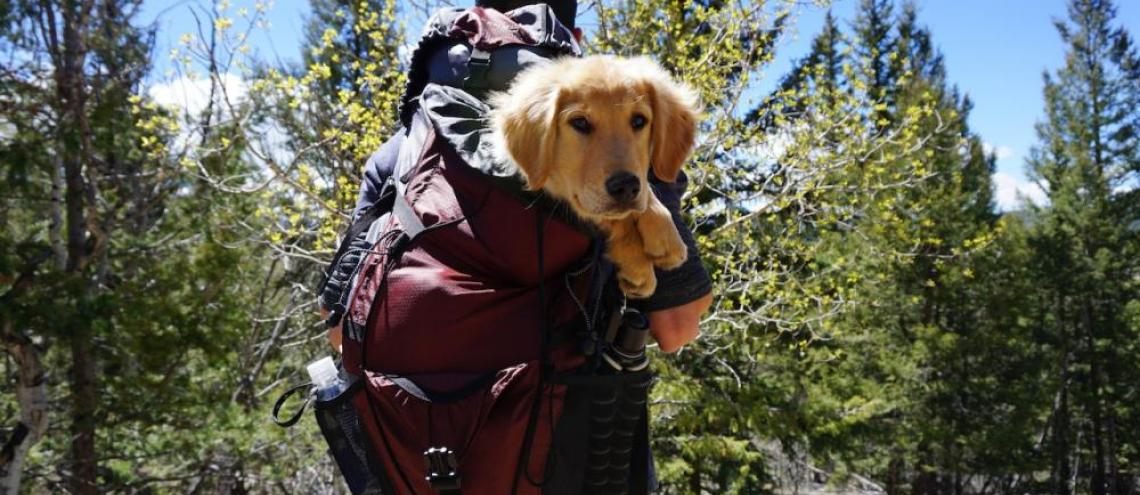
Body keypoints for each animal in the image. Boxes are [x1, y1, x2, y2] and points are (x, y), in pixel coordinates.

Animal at [487, 56, 693, 298]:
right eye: (580, 122)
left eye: (639, 121)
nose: (625, 187)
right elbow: (607, 216)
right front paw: (638, 263)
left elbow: (642, 192)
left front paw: (665, 234)